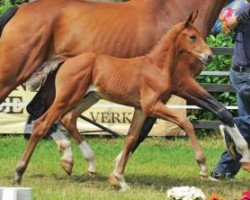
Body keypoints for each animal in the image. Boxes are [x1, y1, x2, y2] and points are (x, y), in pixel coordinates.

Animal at [15, 12, 212, 191]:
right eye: (193, 36)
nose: (209, 55)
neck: (156, 66)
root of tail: (68, 59)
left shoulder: (140, 109)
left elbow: (131, 139)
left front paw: (119, 179)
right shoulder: (152, 106)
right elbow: (186, 123)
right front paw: (203, 168)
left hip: (90, 97)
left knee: (68, 118)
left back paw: (86, 164)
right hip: (66, 97)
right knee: (42, 124)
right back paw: (19, 172)